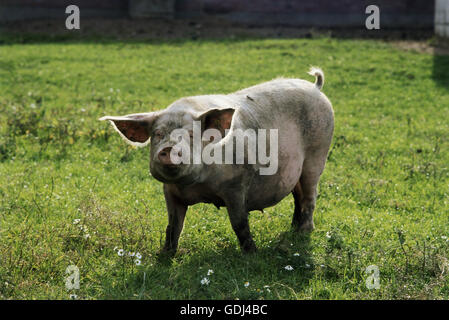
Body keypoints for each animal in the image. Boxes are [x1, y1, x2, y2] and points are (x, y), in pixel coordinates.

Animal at [101, 68, 332, 255]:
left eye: (191, 135)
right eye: (158, 134)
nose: (169, 148)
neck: (196, 186)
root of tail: (316, 87)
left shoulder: (236, 185)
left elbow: (239, 223)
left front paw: (252, 254)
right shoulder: (170, 191)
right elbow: (173, 225)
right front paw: (164, 256)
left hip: (316, 156)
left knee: (310, 196)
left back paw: (304, 232)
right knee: (298, 196)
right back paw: (294, 228)